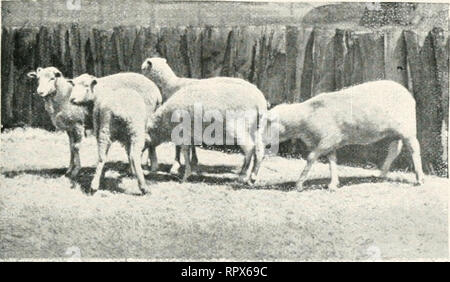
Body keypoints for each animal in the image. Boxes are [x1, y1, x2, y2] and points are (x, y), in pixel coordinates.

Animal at [264, 79, 426, 192]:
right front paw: (333, 184)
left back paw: (420, 178)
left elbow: (310, 158)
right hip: (394, 132)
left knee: (414, 149)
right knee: (394, 150)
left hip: (408, 128)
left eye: (268, 123)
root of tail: (407, 92)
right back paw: (382, 174)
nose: (264, 143)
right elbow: (332, 162)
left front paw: (298, 184)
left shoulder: (328, 139)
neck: (304, 118)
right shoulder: (330, 143)